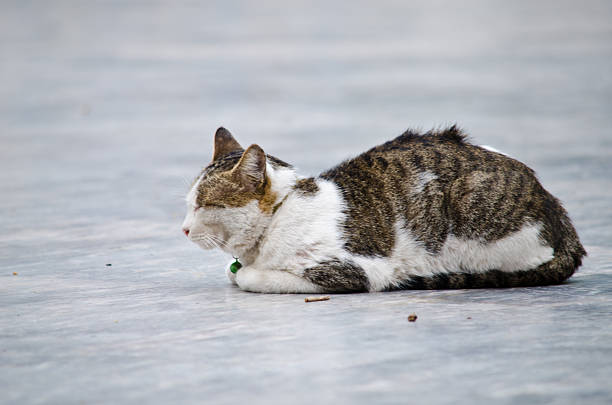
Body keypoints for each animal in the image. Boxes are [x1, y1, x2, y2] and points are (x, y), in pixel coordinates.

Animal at [180, 124, 584, 292]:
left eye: (205, 204)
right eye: (188, 204)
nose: (183, 228)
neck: (282, 214)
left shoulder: (351, 270)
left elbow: (249, 278)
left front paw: (247, 274)